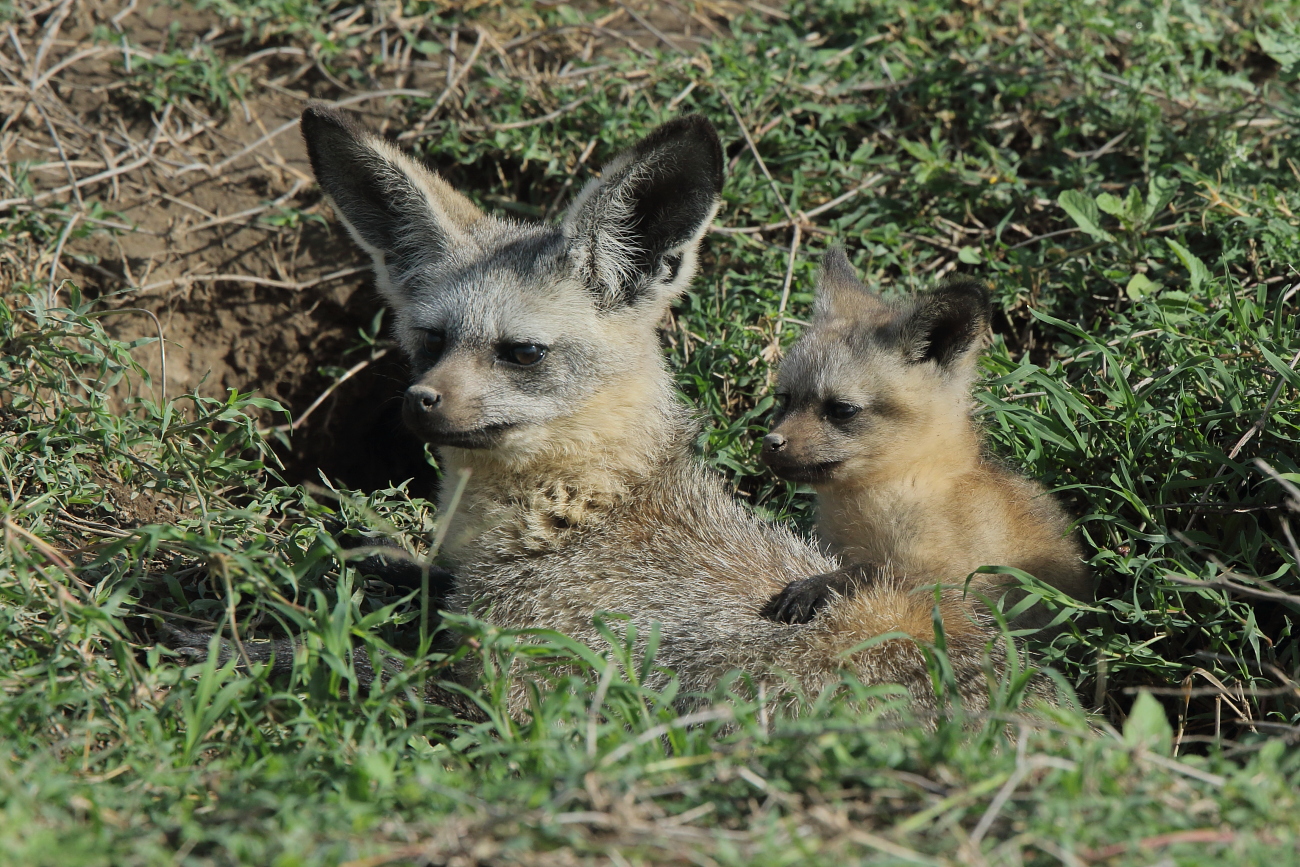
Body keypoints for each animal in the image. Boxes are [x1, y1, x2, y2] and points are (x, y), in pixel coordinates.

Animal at [242, 106, 1052, 719]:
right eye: (430, 341)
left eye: (522, 353)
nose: (421, 403)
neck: (581, 515)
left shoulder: (529, 697)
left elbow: (362, 669)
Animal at [759, 249, 1091, 627]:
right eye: (784, 399)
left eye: (842, 410)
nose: (769, 445)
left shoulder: (953, 582)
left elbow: (871, 571)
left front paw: (814, 587)